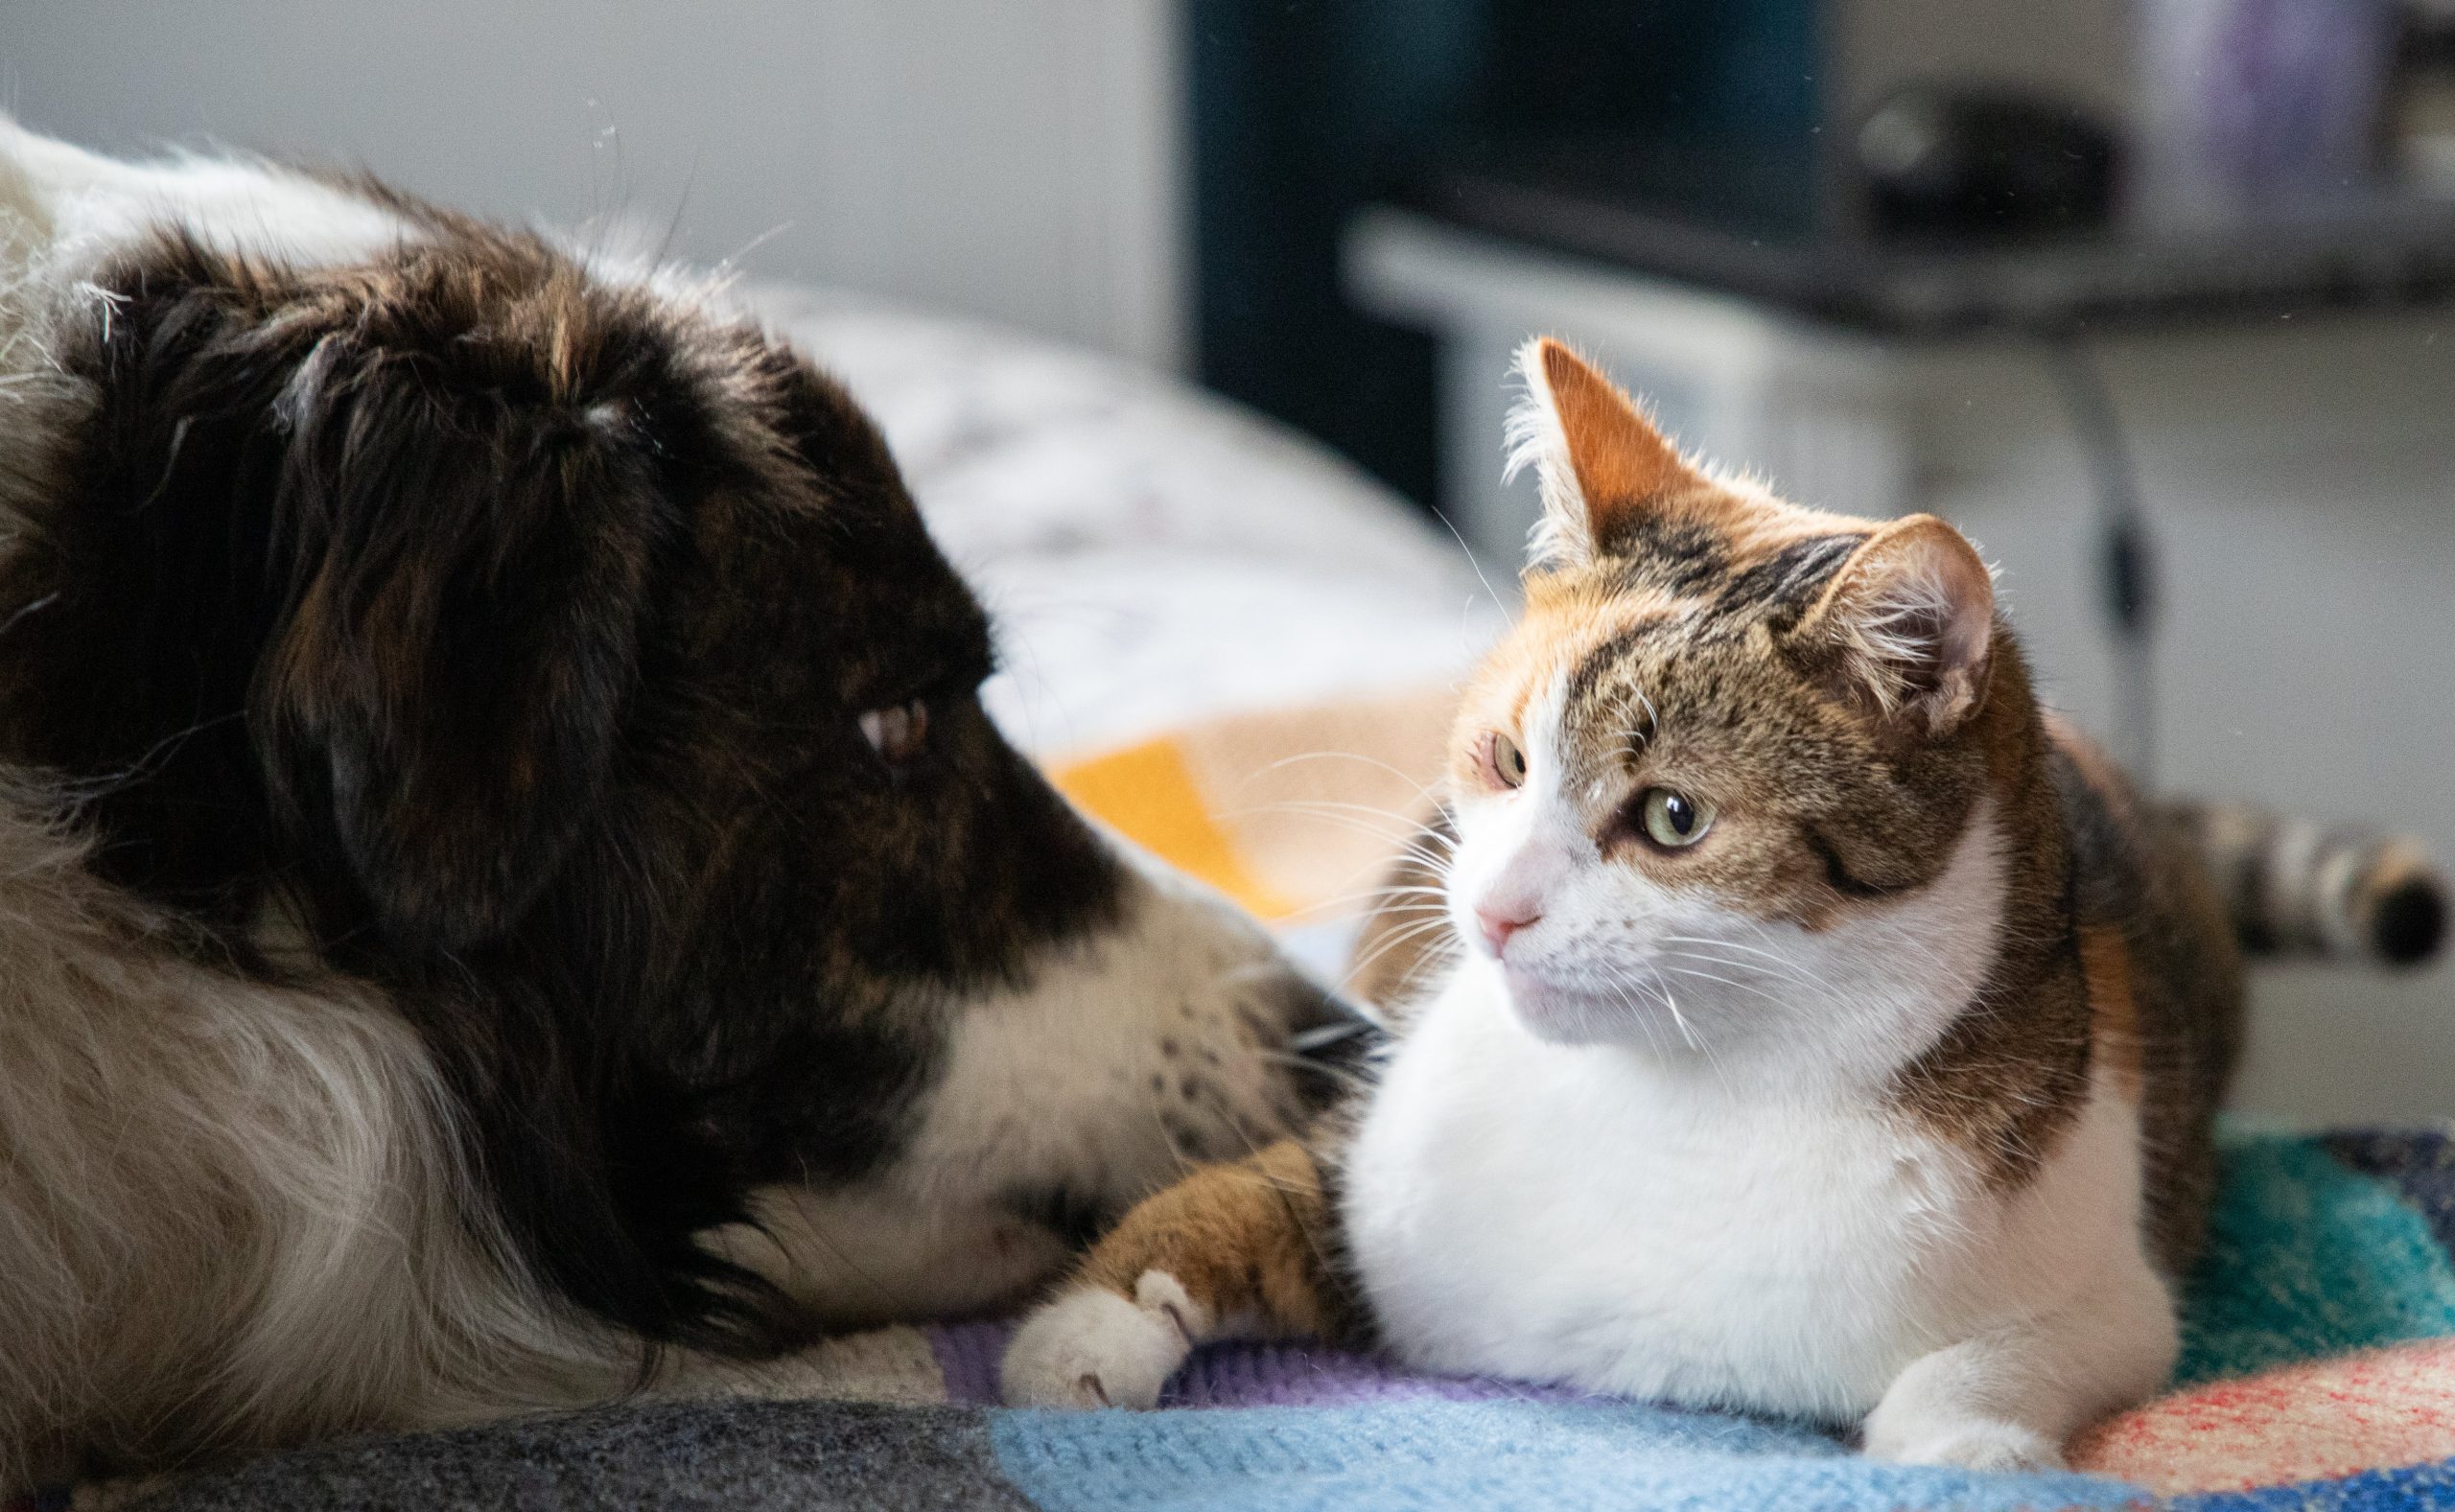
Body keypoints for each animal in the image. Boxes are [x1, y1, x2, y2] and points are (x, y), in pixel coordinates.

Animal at [1001, 334, 2455, 1462]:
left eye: (1672, 819)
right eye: (1508, 758)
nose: (1496, 915)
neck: (1676, 1099)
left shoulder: (2107, 1279)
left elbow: (1988, 1368)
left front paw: (1964, 1449)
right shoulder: (1376, 1168)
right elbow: (1215, 1205)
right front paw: (1073, 1339)